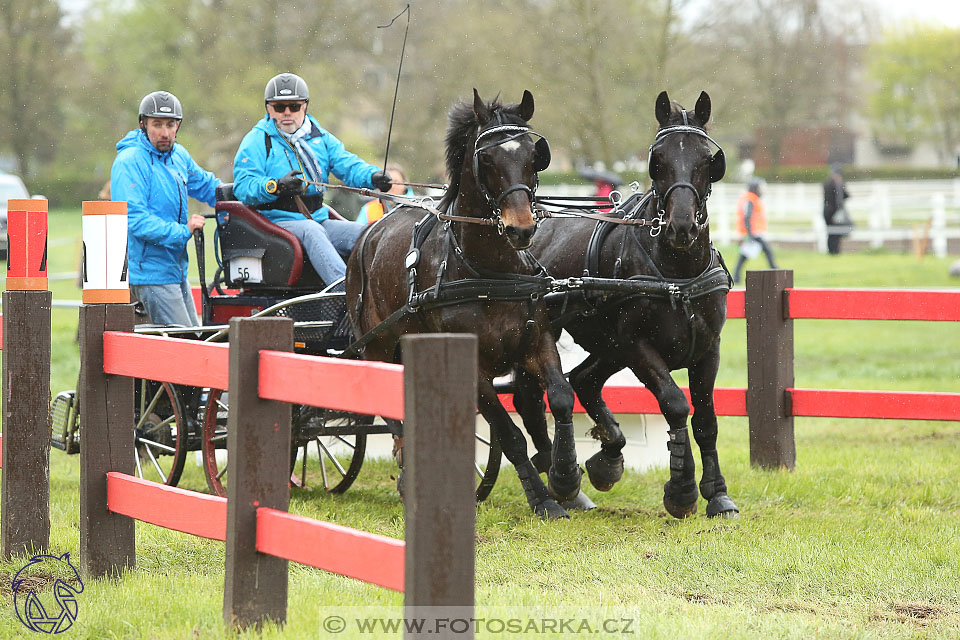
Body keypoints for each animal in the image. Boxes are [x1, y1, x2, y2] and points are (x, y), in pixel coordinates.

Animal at [346, 91, 580, 520]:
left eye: (532, 154)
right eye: (486, 159)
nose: (521, 228)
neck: (489, 272)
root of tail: (369, 235)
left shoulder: (537, 343)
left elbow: (560, 397)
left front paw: (566, 476)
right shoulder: (474, 369)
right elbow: (509, 435)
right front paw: (543, 499)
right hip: (377, 345)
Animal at [512, 90, 740, 516]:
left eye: (708, 160)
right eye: (658, 159)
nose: (681, 226)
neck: (677, 274)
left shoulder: (708, 348)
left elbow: (706, 419)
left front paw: (717, 493)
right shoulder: (638, 345)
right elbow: (675, 403)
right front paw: (681, 490)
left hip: (607, 343)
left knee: (583, 380)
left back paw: (605, 457)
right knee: (535, 397)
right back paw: (558, 475)